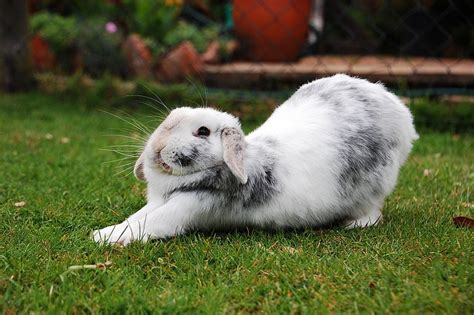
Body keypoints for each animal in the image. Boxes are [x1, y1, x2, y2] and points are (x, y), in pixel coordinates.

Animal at [92, 74, 418, 247]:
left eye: (202, 131)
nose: (157, 149)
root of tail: (401, 114)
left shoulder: (186, 207)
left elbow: (150, 224)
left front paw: (101, 238)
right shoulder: (159, 201)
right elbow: (136, 218)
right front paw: (106, 230)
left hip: (375, 183)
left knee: (373, 210)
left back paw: (355, 224)